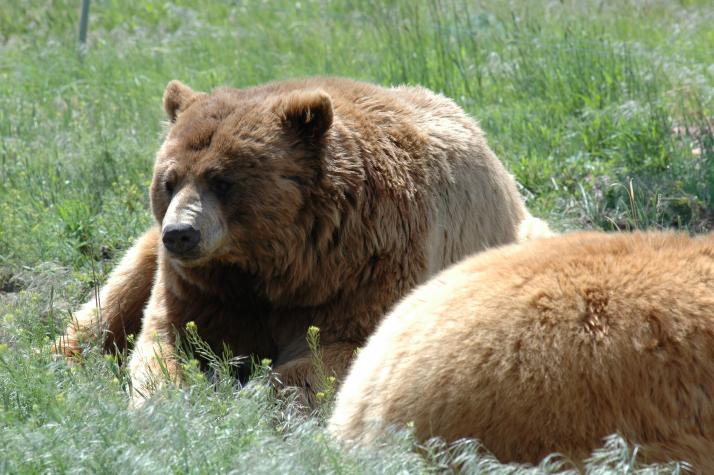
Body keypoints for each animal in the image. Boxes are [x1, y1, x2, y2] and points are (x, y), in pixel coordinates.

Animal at [55, 77, 544, 406]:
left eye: (222, 181)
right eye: (169, 181)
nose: (180, 234)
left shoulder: (368, 265)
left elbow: (341, 351)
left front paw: (254, 395)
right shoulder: (203, 286)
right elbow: (165, 340)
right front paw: (173, 400)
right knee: (114, 293)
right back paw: (62, 358)